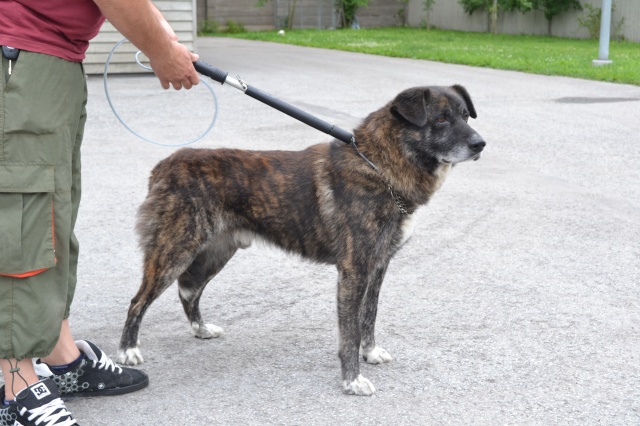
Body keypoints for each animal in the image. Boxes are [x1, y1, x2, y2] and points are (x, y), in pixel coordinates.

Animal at [117, 85, 486, 396]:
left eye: (465, 116)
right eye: (440, 119)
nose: (480, 144)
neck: (379, 166)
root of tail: (164, 166)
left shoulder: (378, 266)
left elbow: (370, 315)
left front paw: (370, 353)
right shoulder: (354, 271)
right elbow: (349, 331)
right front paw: (352, 380)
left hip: (217, 252)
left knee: (189, 290)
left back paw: (200, 328)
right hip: (174, 251)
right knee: (139, 301)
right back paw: (127, 350)